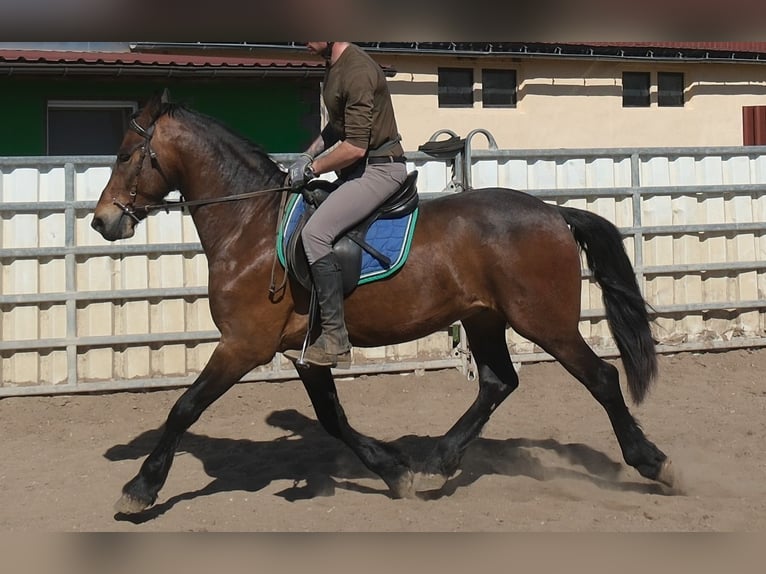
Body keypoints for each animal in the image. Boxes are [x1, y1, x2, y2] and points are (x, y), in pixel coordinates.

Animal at [91, 91, 675, 515]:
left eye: (124, 155)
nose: (102, 221)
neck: (250, 226)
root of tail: (554, 212)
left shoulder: (243, 346)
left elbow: (184, 408)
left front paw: (140, 488)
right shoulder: (303, 351)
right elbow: (332, 418)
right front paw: (394, 470)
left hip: (544, 321)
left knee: (601, 379)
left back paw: (652, 462)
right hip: (483, 319)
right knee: (497, 383)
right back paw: (438, 462)